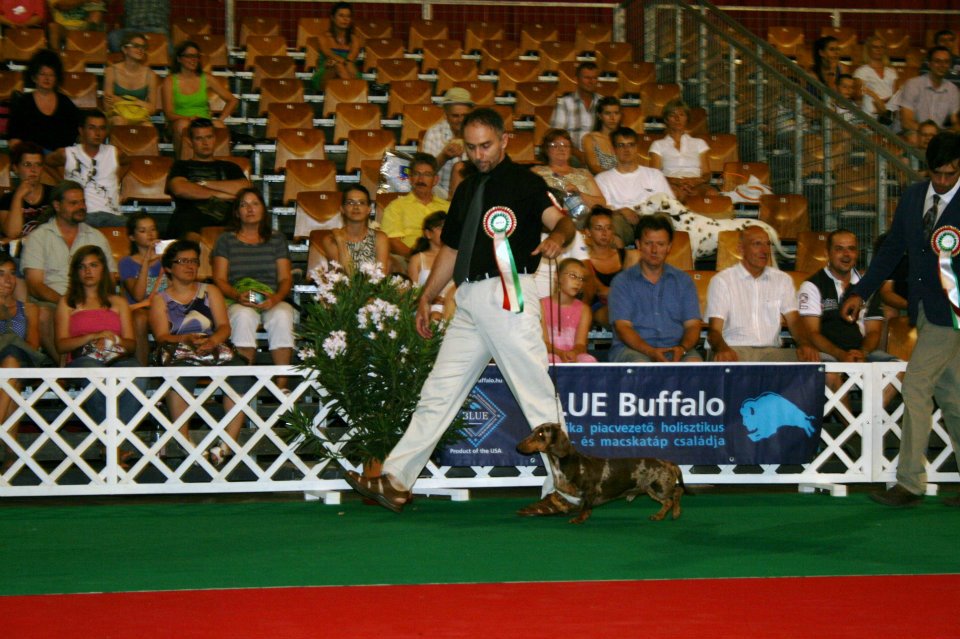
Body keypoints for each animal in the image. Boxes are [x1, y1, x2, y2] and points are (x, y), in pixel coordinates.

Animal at [517, 423, 685, 524]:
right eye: (533, 431)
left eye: (540, 435)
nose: (517, 446)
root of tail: (669, 463)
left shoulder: (589, 491)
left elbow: (585, 507)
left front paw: (579, 519)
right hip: (651, 489)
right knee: (672, 498)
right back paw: (666, 515)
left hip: (658, 487)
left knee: (675, 495)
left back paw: (669, 514)